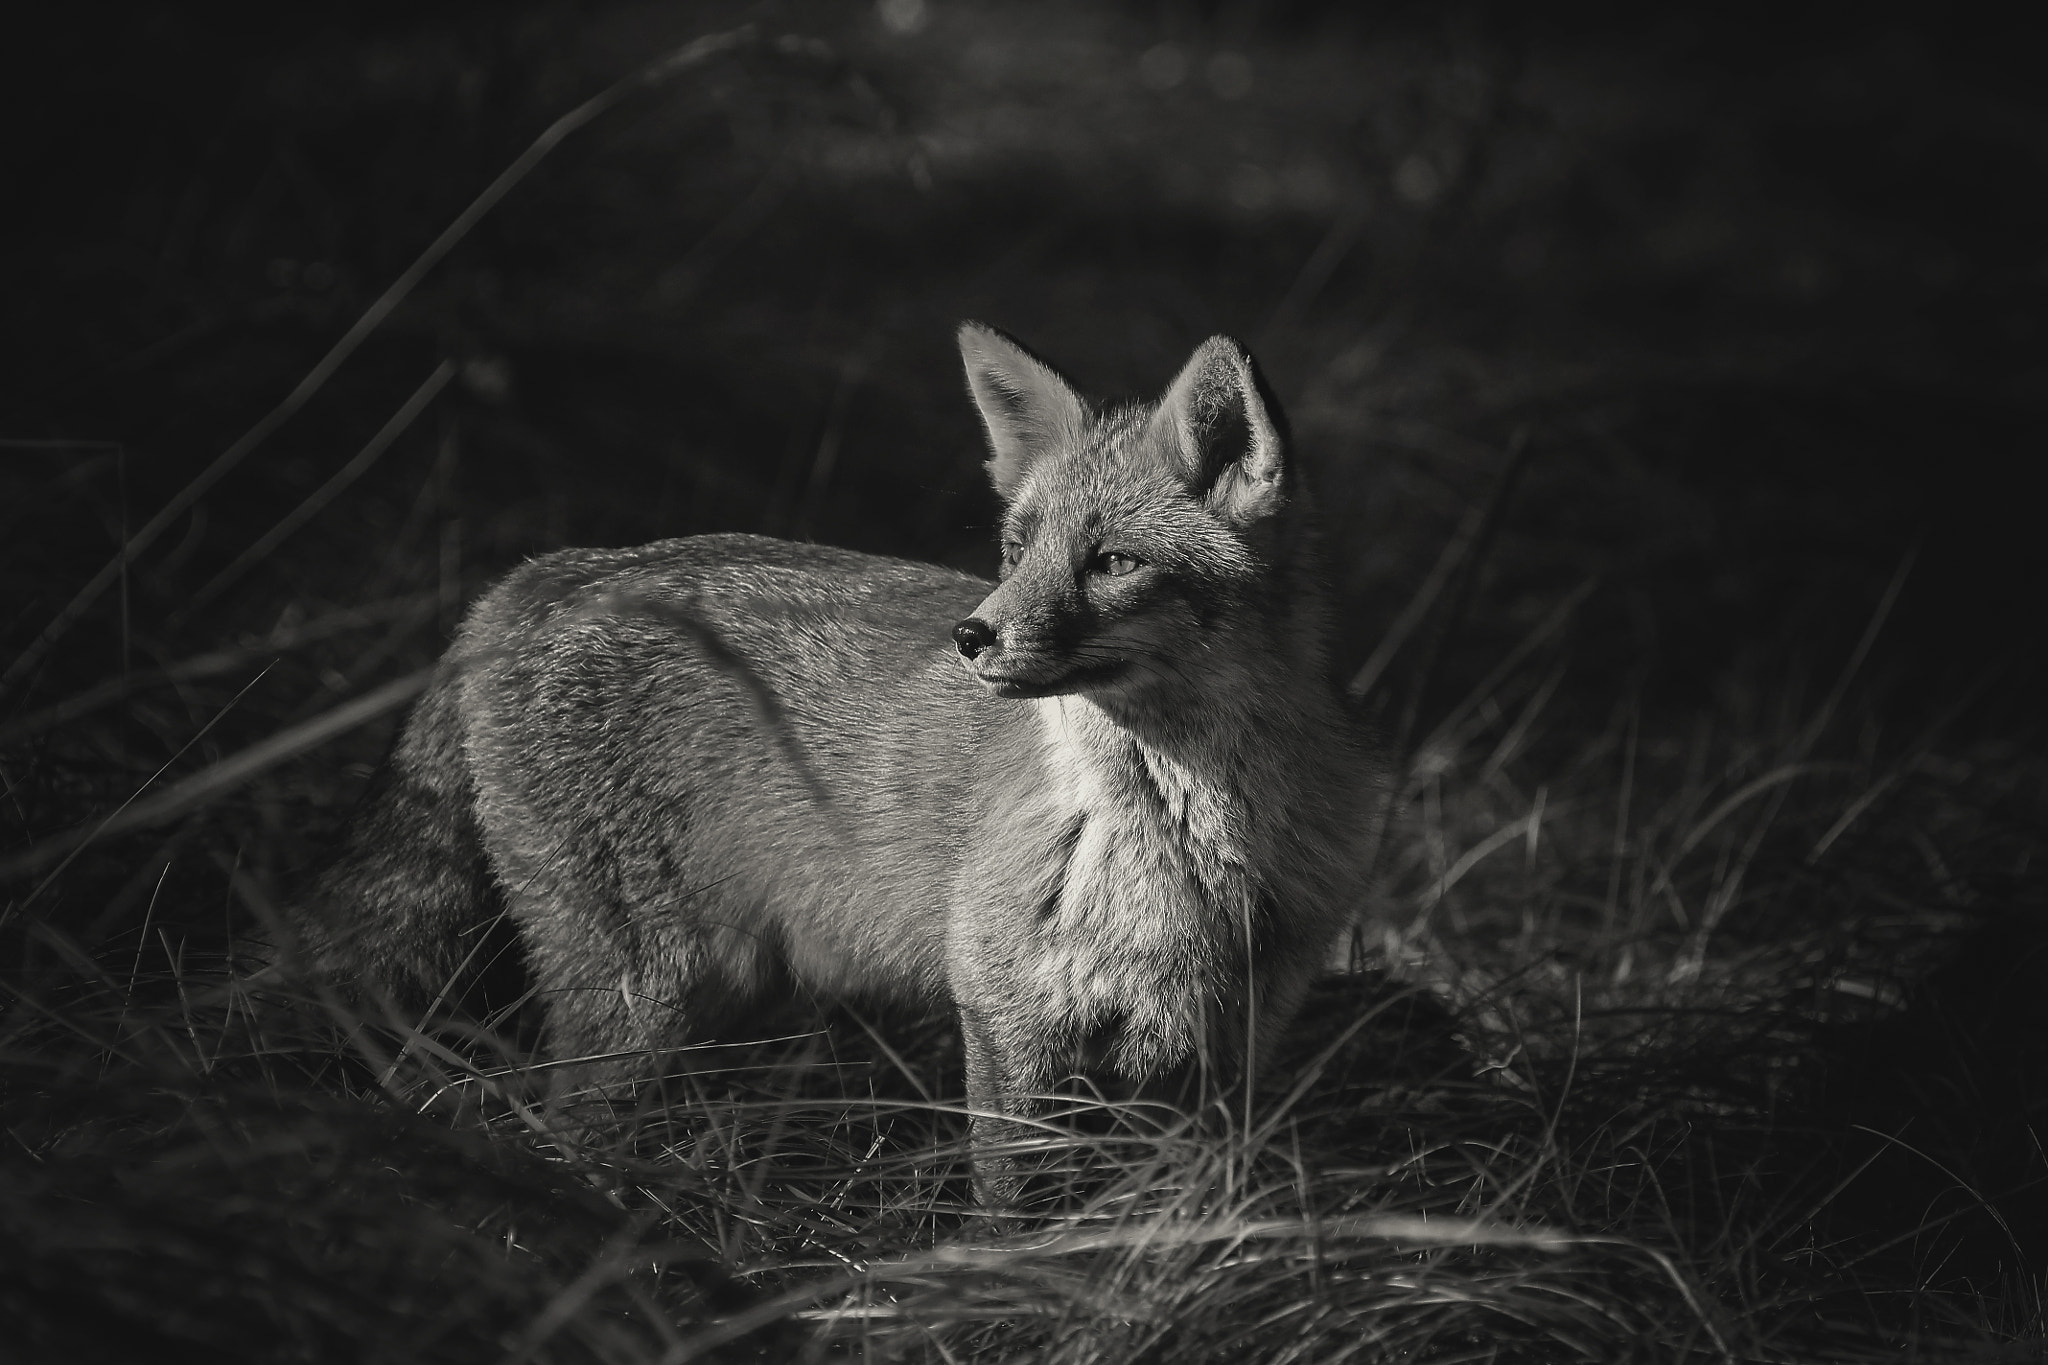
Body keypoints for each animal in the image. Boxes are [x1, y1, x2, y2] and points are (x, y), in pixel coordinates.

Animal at [292, 323, 1386, 1201]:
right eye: (1015, 548)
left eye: (1112, 562)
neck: (1180, 849)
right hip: (640, 1001)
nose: (972, 635)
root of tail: (534, 576)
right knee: (559, 1124)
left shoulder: (1228, 1038)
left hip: (712, 991)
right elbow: (1013, 1206)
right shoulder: (1006, 1012)